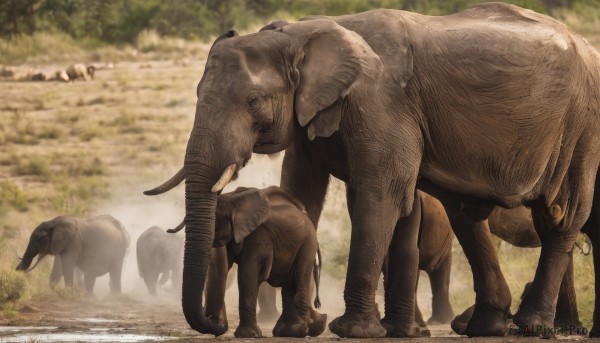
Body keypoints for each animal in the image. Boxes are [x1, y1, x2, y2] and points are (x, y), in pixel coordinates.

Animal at [202, 185, 326, 338]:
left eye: (216, 222)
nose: (214, 321)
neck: (234, 200)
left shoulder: (258, 235)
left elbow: (247, 272)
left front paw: (248, 335)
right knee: (291, 283)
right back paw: (295, 330)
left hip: (308, 243)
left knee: (299, 277)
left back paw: (309, 327)